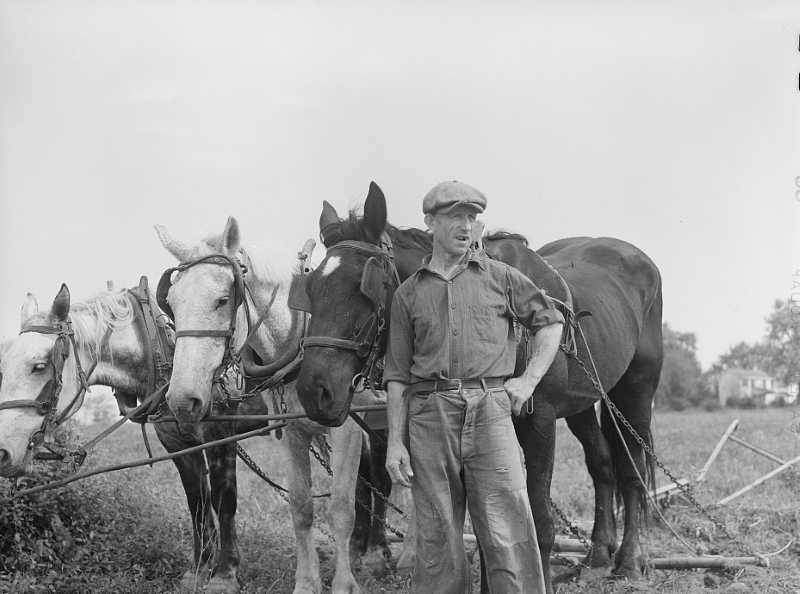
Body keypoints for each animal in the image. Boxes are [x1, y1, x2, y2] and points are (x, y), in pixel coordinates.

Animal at [0, 280, 268, 588]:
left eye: (40, 366)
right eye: (3, 367)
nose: (3, 452)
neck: (166, 348)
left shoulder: (220, 435)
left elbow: (224, 500)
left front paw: (225, 574)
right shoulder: (177, 443)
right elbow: (197, 502)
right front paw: (199, 570)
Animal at [292, 182, 664, 592]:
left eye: (364, 287)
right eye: (311, 286)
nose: (313, 390)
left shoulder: (540, 420)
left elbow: (538, 521)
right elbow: (490, 533)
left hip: (635, 392)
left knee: (631, 472)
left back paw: (629, 560)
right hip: (582, 404)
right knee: (602, 466)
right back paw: (598, 553)